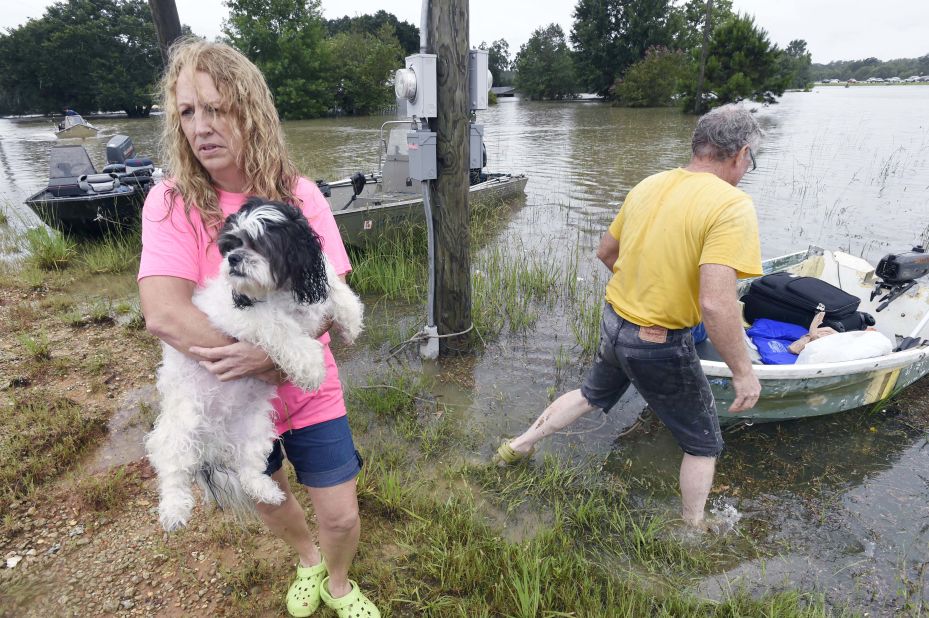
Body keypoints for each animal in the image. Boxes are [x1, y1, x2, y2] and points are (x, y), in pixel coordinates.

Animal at [145, 197, 362, 528]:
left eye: (260, 244)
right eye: (230, 245)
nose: (234, 259)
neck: (278, 290)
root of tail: (216, 434)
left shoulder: (314, 283)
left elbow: (337, 291)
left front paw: (351, 322)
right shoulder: (241, 316)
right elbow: (281, 328)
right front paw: (312, 368)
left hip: (256, 430)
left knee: (248, 469)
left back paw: (266, 490)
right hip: (183, 424)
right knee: (170, 463)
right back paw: (174, 510)